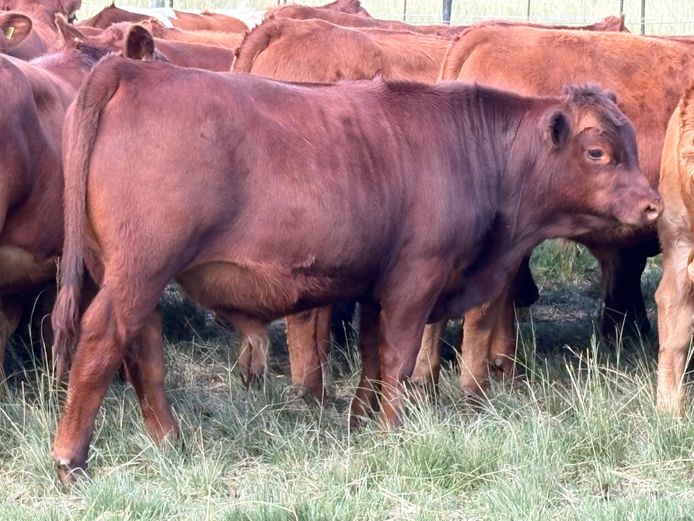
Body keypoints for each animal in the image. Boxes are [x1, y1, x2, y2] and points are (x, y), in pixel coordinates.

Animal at [50, 53, 660, 481]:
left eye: (631, 141)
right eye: (598, 152)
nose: (652, 204)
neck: (476, 152)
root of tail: (131, 69)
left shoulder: (376, 284)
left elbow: (371, 354)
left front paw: (361, 423)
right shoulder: (417, 278)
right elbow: (397, 357)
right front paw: (392, 431)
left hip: (129, 275)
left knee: (142, 351)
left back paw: (168, 440)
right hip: (140, 270)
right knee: (103, 340)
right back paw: (70, 459)